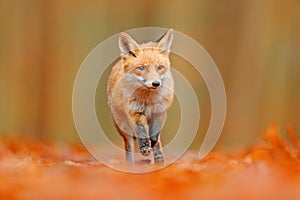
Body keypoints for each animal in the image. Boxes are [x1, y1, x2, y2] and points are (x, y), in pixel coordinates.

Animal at [107, 29, 173, 164]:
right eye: (142, 68)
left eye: (160, 67)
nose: (156, 83)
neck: (149, 100)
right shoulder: (135, 111)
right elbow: (142, 132)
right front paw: (145, 147)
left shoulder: (160, 111)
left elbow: (154, 136)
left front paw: (152, 145)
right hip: (123, 125)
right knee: (129, 145)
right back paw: (131, 165)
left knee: (158, 143)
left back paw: (159, 160)